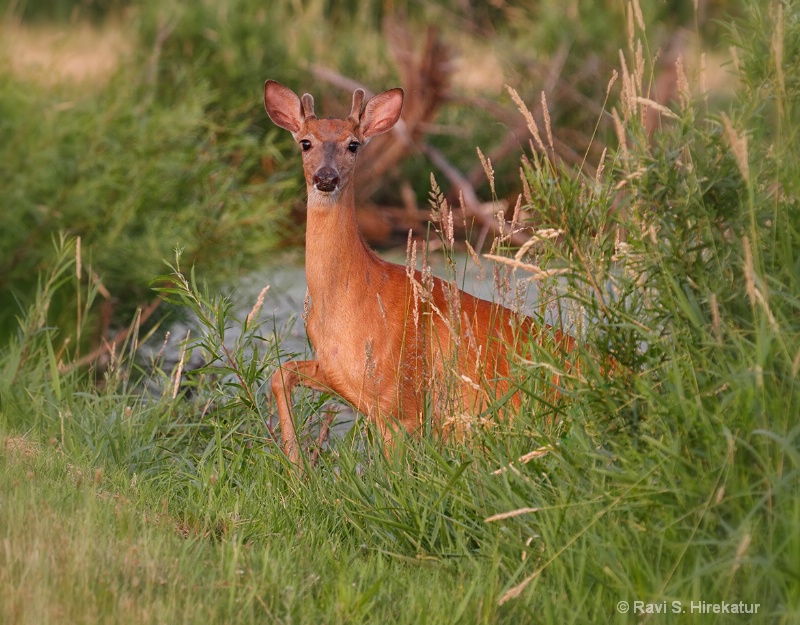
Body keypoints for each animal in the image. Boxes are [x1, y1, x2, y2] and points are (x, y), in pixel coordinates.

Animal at [264, 79, 576, 468]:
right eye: (305, 142)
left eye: (354, 144)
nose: (326, 178)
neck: (353, 297)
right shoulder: (340, 373)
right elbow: (280, 373)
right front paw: (296, 465)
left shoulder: (400, 402)